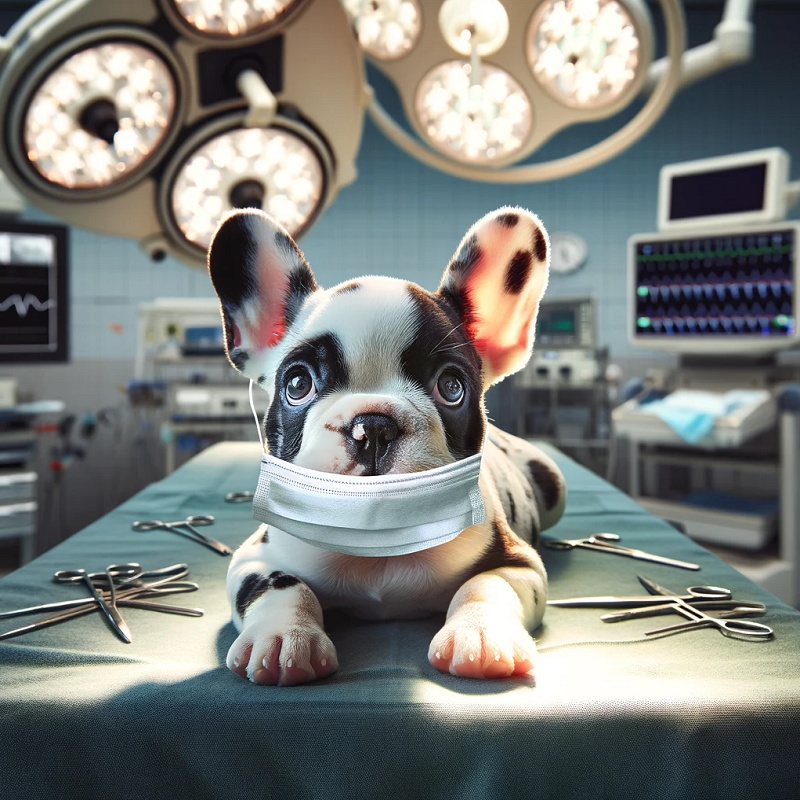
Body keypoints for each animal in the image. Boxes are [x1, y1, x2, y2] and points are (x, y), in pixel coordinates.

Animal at [209, 208, 564, 688]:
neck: (378, 537)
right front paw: (285, 637)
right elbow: (283, 585)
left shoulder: (519, 563)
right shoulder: (253, 558)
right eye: (298, 384)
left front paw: (481, 634)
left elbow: (485, 585)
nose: (373, 426)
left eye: (451, 387)